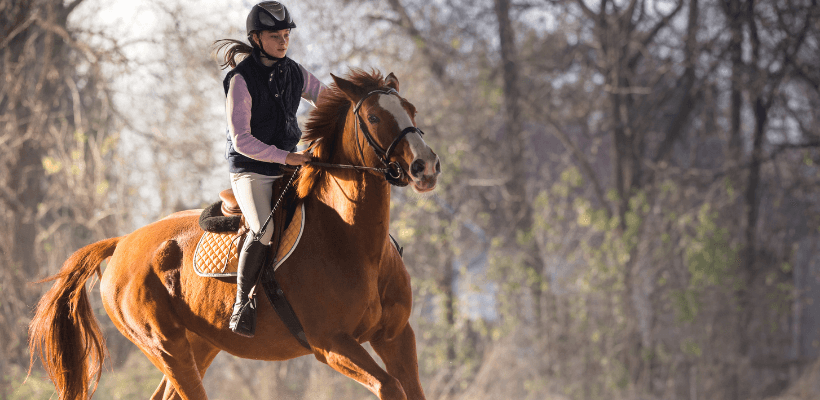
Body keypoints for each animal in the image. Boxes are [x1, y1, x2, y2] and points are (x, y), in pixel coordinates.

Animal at [30, 70, 442, 398]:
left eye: (411, 110)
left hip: (200, 345)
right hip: (166, 348)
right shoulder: (333, 345)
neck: (353, 242)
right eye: (373, 116)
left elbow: (411, 388)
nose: (426, 167)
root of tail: (121, 244)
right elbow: (390, 386)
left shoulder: (396, 336)